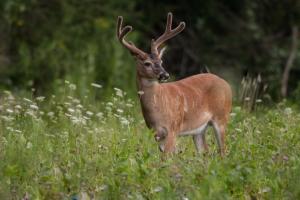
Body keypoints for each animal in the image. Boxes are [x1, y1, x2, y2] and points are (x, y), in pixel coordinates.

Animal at [116, 12, 232, 156]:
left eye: (161, 61)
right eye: (147, 63)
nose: (165, 75)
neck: (157, 110)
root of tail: (226, 84)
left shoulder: (173, 128)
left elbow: (166, 158)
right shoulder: (157, 134)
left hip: (221, 117)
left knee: (223, 151)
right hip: (199, 129)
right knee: (205, 151)